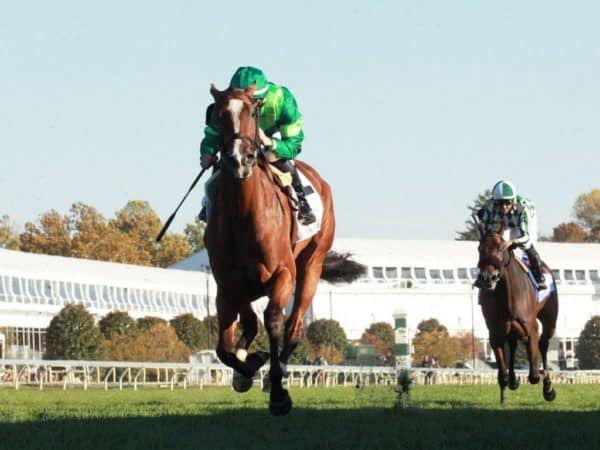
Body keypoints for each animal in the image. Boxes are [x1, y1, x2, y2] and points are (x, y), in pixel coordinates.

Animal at [203, 84, 366, 414]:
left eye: (253, 112)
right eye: (218, 115)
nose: (239, 160)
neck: (243, 216)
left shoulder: (281, 274)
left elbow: (273, 320)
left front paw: (278, 390)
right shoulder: (227, 284)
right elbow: (226, 346)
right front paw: (249, 364)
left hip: (312, 265)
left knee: (294, 325)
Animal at [476, 232, 560, 404]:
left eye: (501, 249)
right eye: (480, 249)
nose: (488, 277)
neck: (506, 294)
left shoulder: (531, 328)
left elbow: (534, 375)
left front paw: (545, 386)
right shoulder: (495, 333)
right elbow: (502, 370)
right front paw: (507, 388)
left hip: (550, 320)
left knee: (543, 344)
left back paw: (548, 388)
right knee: (513, 345)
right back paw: (513, 379)